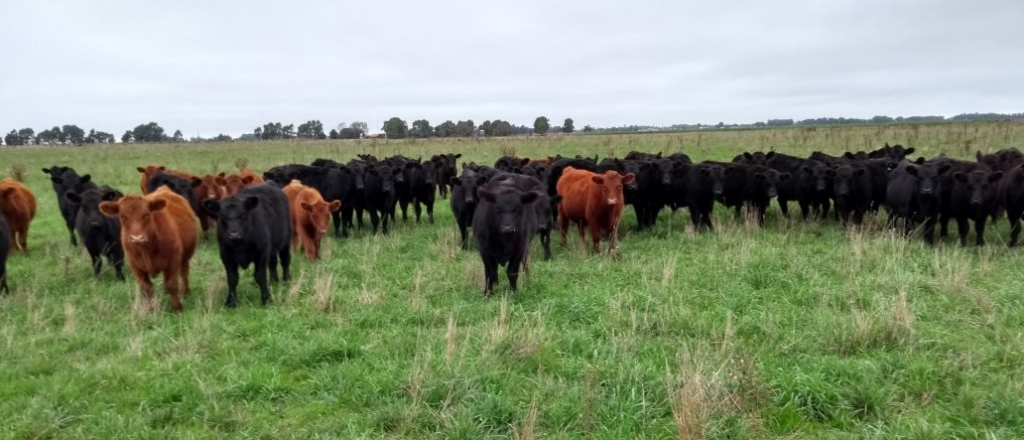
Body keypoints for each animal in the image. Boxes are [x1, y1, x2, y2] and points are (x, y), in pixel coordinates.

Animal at [101, 185, 199, 313]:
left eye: (146, 215)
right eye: (123, 217)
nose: (137, 238)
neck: (147, 250)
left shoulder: (173, 261)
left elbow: (172, 284)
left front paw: (177, 308)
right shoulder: (135, 266)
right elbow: (147, 288)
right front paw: (150, 310)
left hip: (185, 257)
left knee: (184, 273)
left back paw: (186, 292)